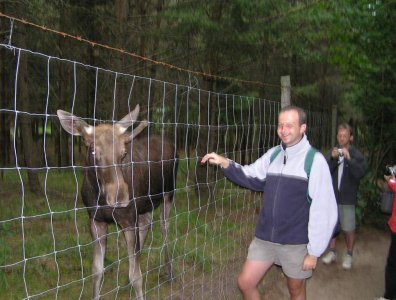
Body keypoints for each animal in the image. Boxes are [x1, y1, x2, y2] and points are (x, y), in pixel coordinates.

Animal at [57, 104, 178, 298]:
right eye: (93, 150)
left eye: (123, 153)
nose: (120, 197)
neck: (99, 196)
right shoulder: (95, 220)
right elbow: (97, 270)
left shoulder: (128, 219)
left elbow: (137, 276)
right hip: (143, 206)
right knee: (146, 223)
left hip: (169, 193)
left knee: (164, 227)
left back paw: (169, 272)